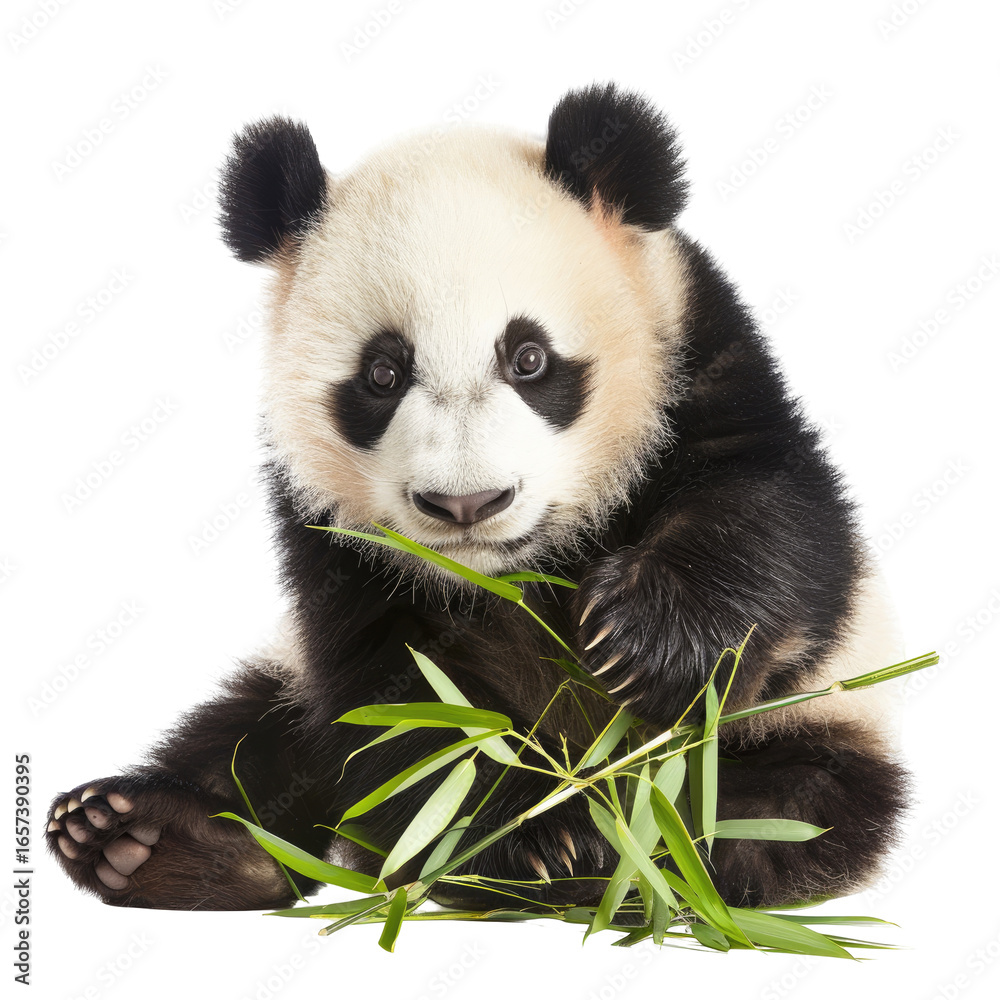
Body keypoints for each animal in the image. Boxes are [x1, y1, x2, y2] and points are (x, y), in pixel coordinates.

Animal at [47, 83, 908, 913]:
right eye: (382, 373)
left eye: (529, 357)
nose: (467, 505)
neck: (507, 572)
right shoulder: (329, 533)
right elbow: (402, 699)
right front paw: (531, 841)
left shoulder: (698, 354)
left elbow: (772, 517)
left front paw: (646, 642)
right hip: (281, 683)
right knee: (252, 742)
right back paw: (152, 841)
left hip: (812, 728)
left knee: (776, 802)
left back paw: (665, 851)